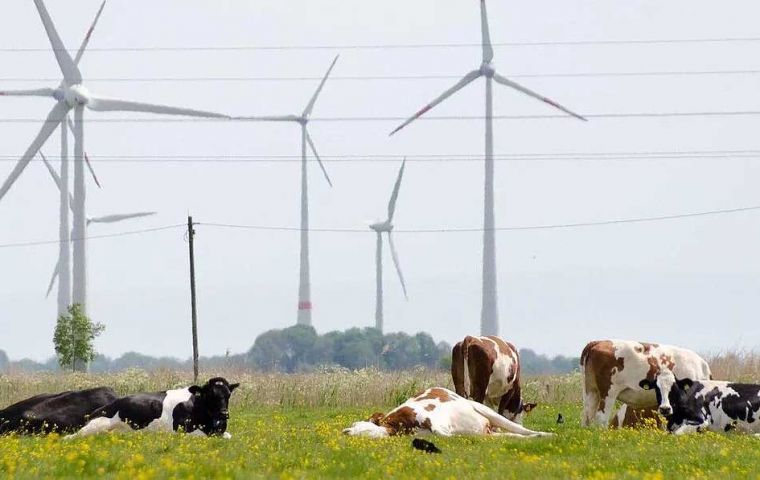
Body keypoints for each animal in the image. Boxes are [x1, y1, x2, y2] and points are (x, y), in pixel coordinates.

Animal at [65, 376, 238, 440]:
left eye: (228, 394)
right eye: (210, 394)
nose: (224, 414)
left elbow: (229, 436)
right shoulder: (183, 430)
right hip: (97, 425)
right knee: (71, 437)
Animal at [342, 386, 548, 438]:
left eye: (359, 426)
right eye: (353, 423)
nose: (345, 431)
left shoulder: (437, 423)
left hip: (484, 409)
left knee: (520, 430)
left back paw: (546, 435)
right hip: (489, 431)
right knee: (510, 436)